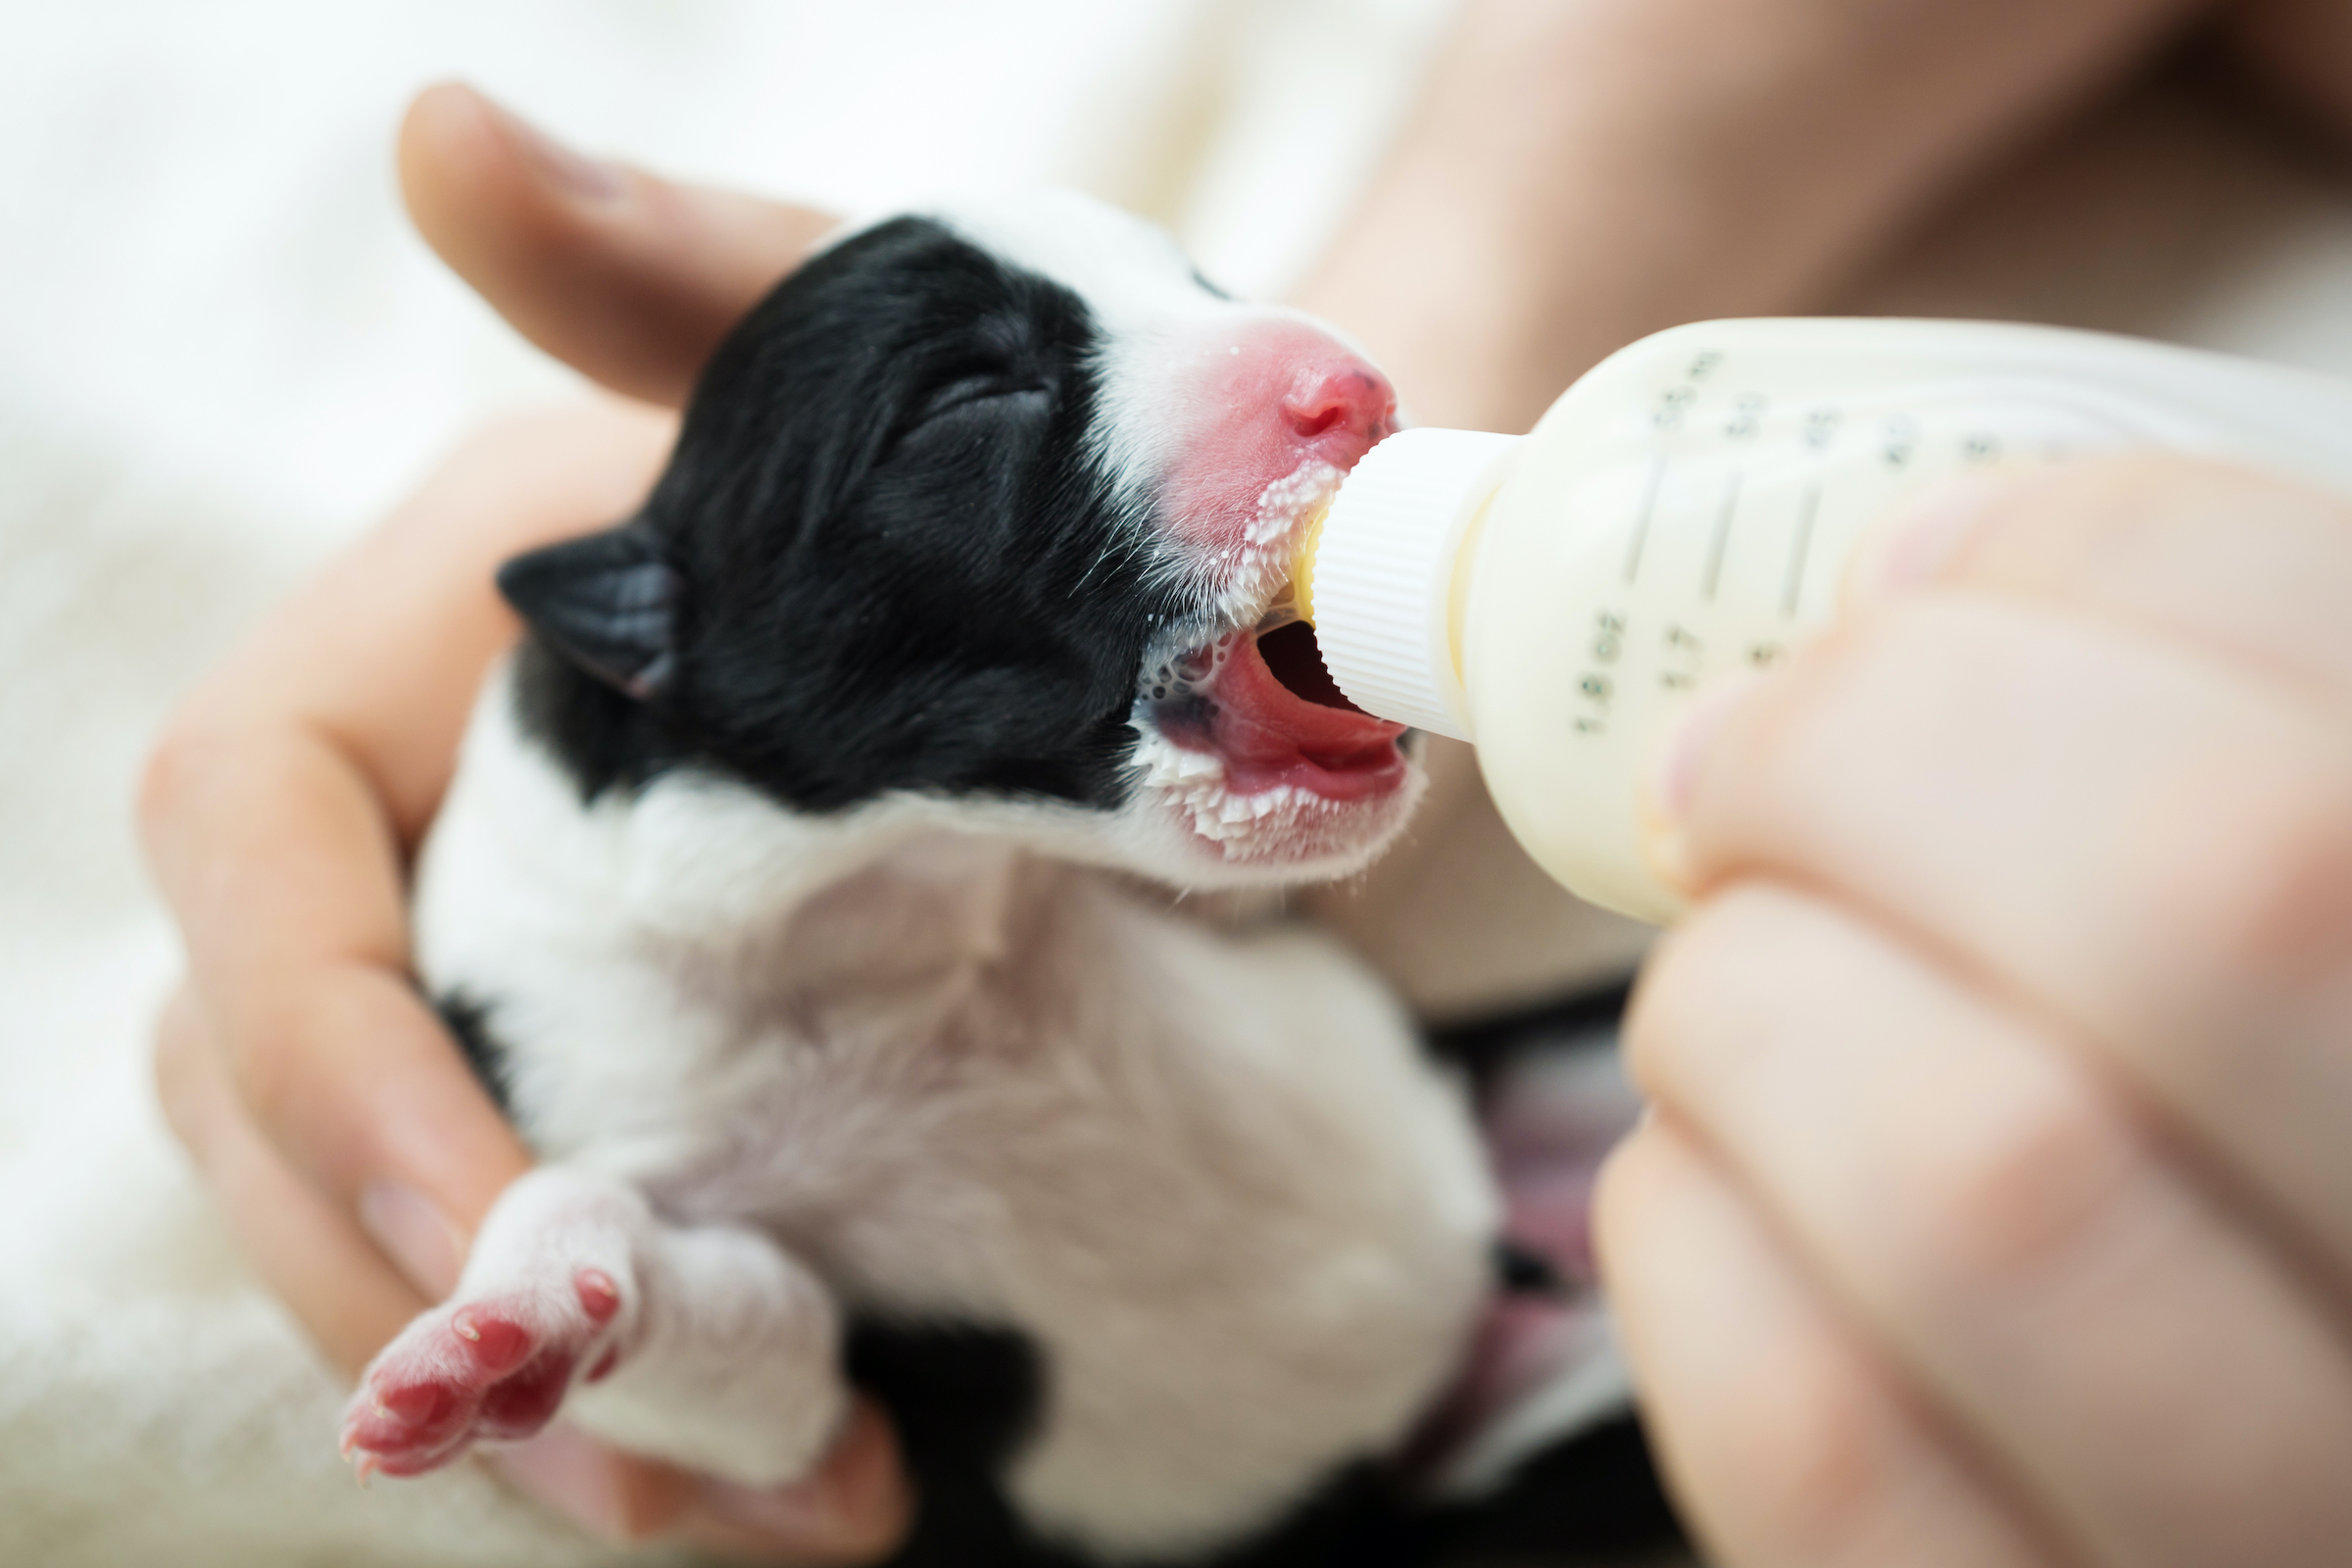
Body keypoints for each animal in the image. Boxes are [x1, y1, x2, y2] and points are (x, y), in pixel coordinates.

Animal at [348, 190, 1665, 1560]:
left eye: (1204, 283)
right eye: (971, 392)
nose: (1354, 386)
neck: (889, 936)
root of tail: (1500, 1264)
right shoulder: (849, 1403)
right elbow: (757, 1360)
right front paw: (510, 1331)